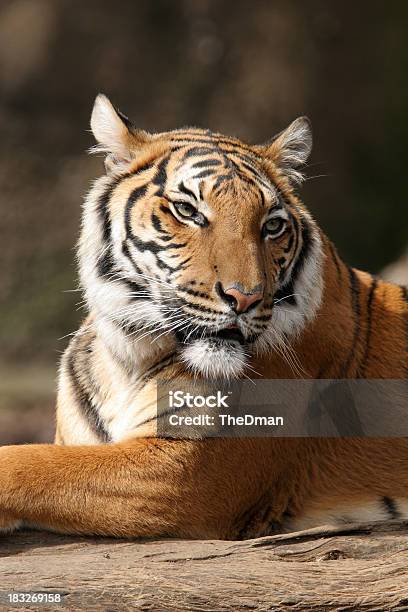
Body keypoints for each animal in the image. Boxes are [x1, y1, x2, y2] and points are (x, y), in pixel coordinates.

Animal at [0, 93, 408, 536]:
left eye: (272, 226)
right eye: (187, 210)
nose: (245, 298)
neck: (127, 354)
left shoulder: (185, 471)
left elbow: (26, 462)